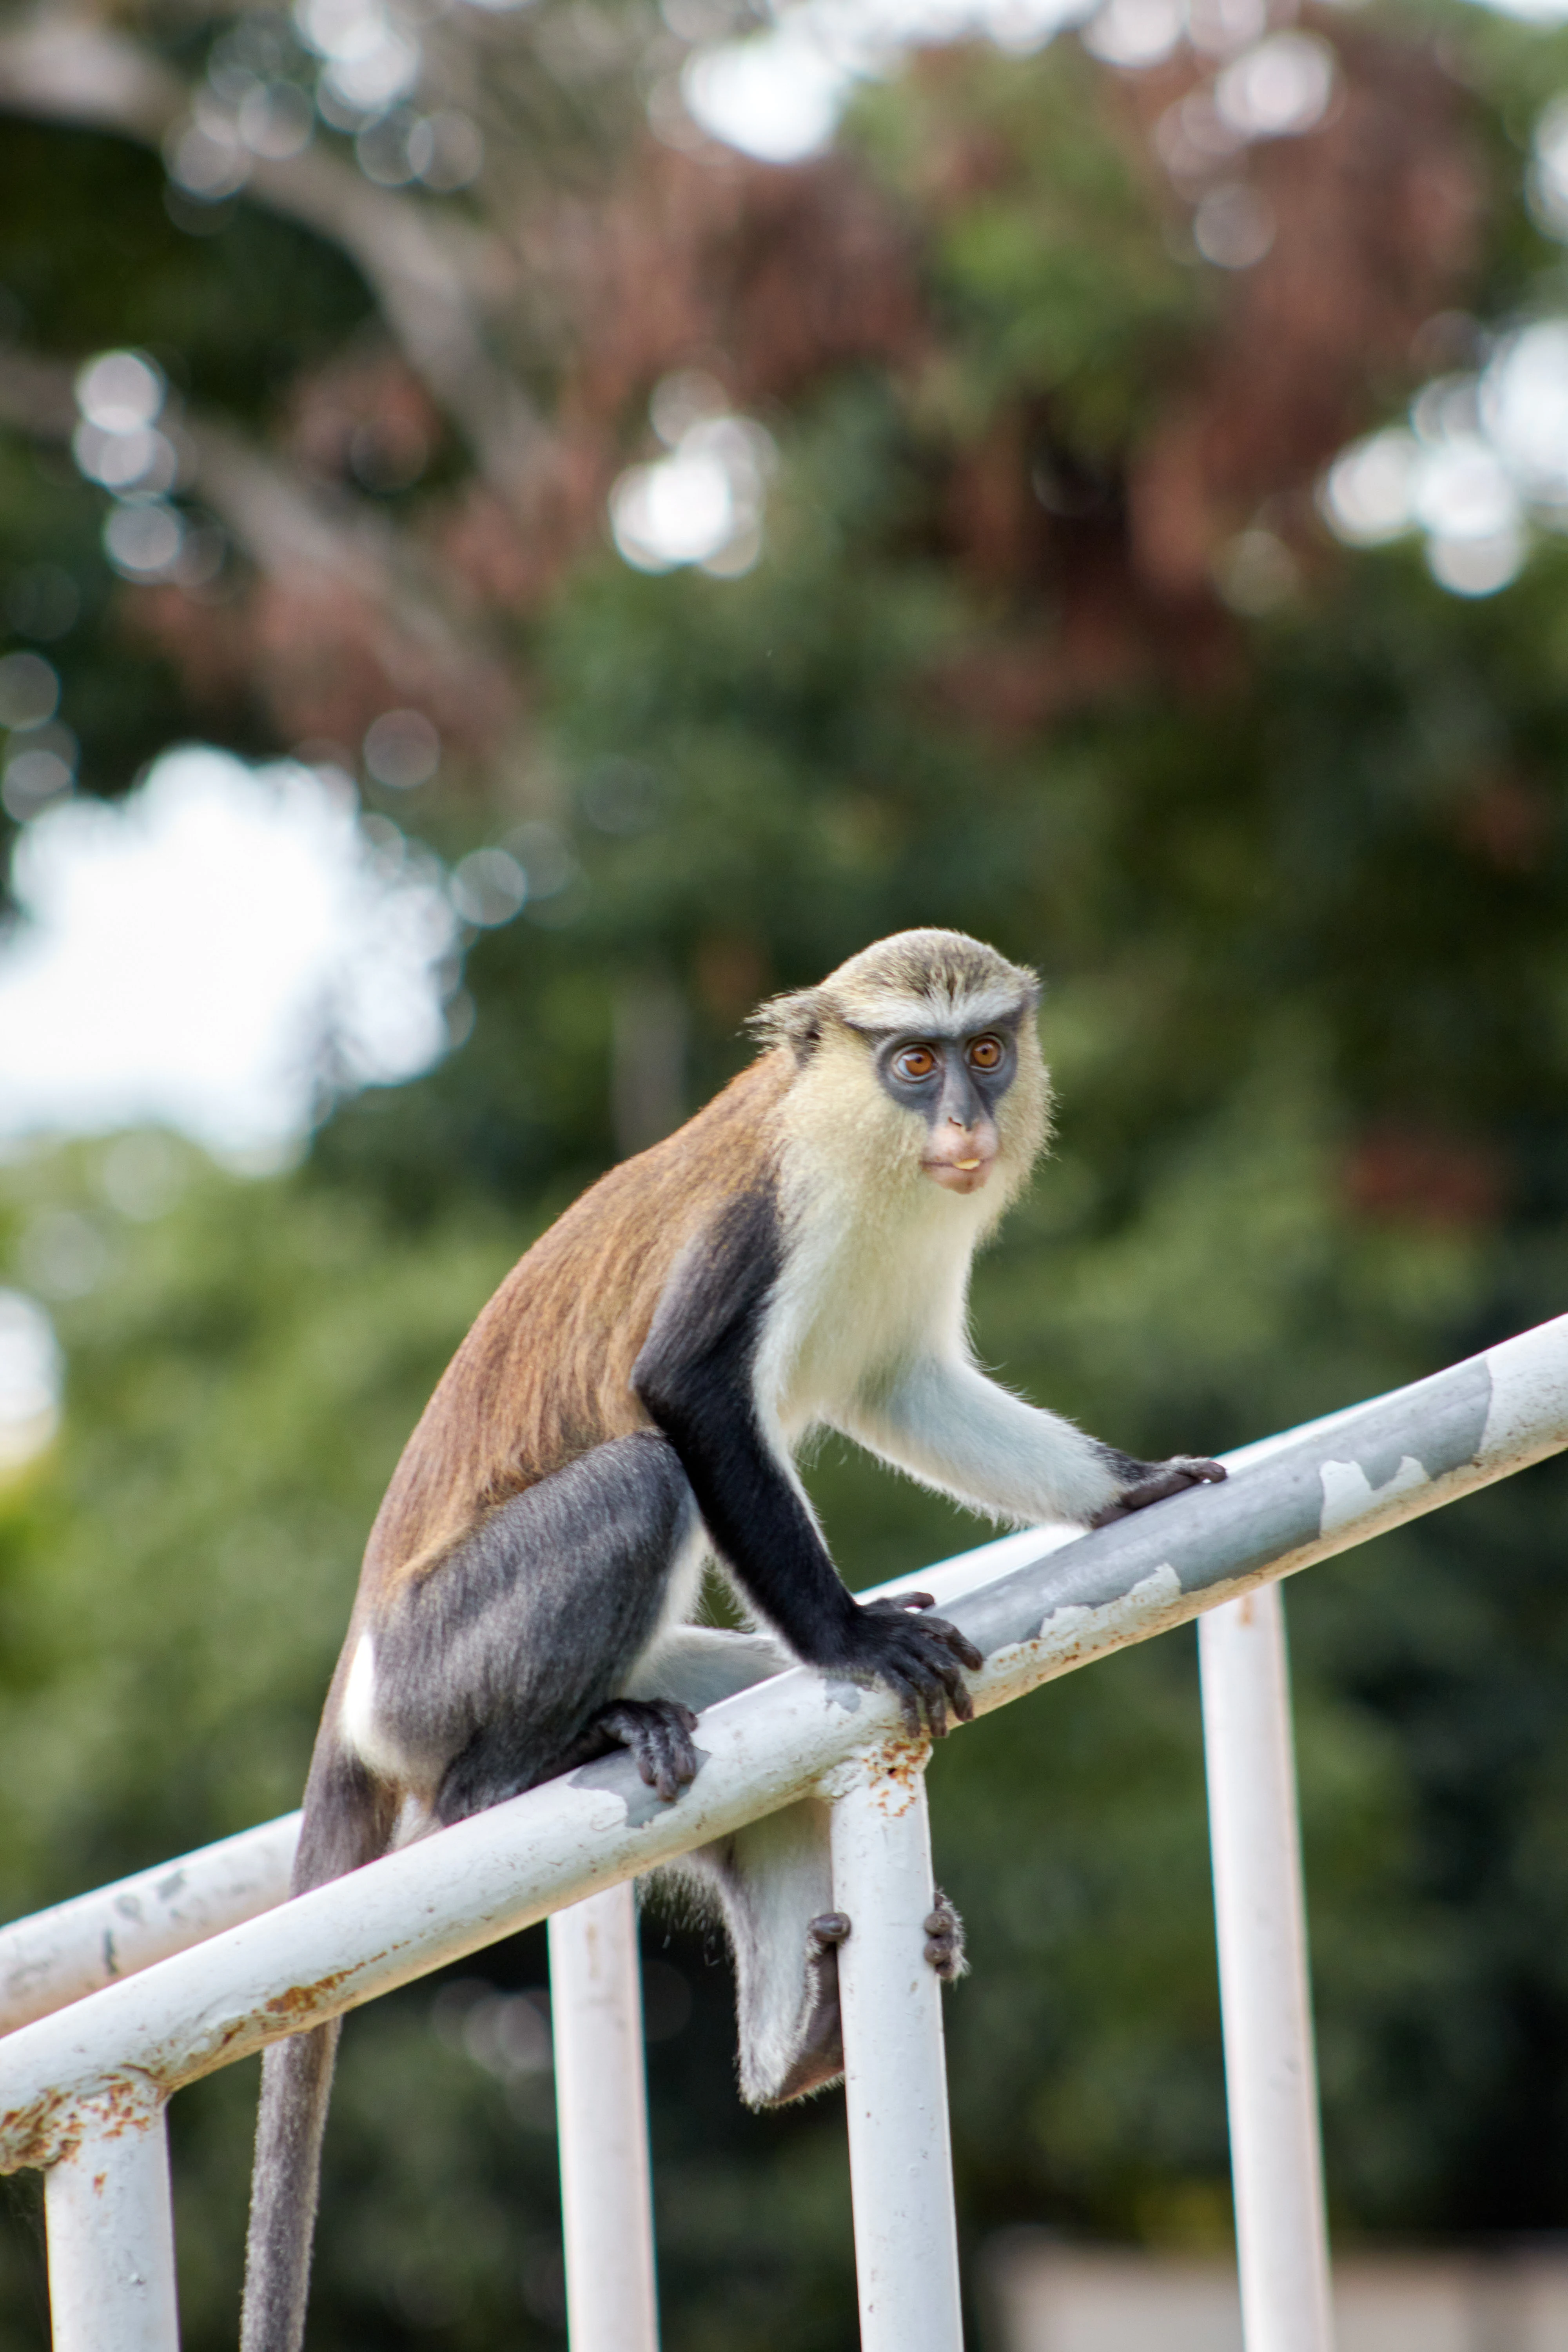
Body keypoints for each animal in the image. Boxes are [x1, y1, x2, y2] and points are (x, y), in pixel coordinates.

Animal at [240, 928, 1224, 2352]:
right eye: (914, 1063)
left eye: (986, 1051)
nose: (967, 1123)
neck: (850, 1136)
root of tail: (356, 1690)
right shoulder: (769, 1227)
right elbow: (687, 1396)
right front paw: (856, 1637)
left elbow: (903, 1387)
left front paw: (1132, 1486)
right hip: (442, 1668)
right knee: (638, 1480)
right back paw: (527, 1774)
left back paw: (805, 2037)